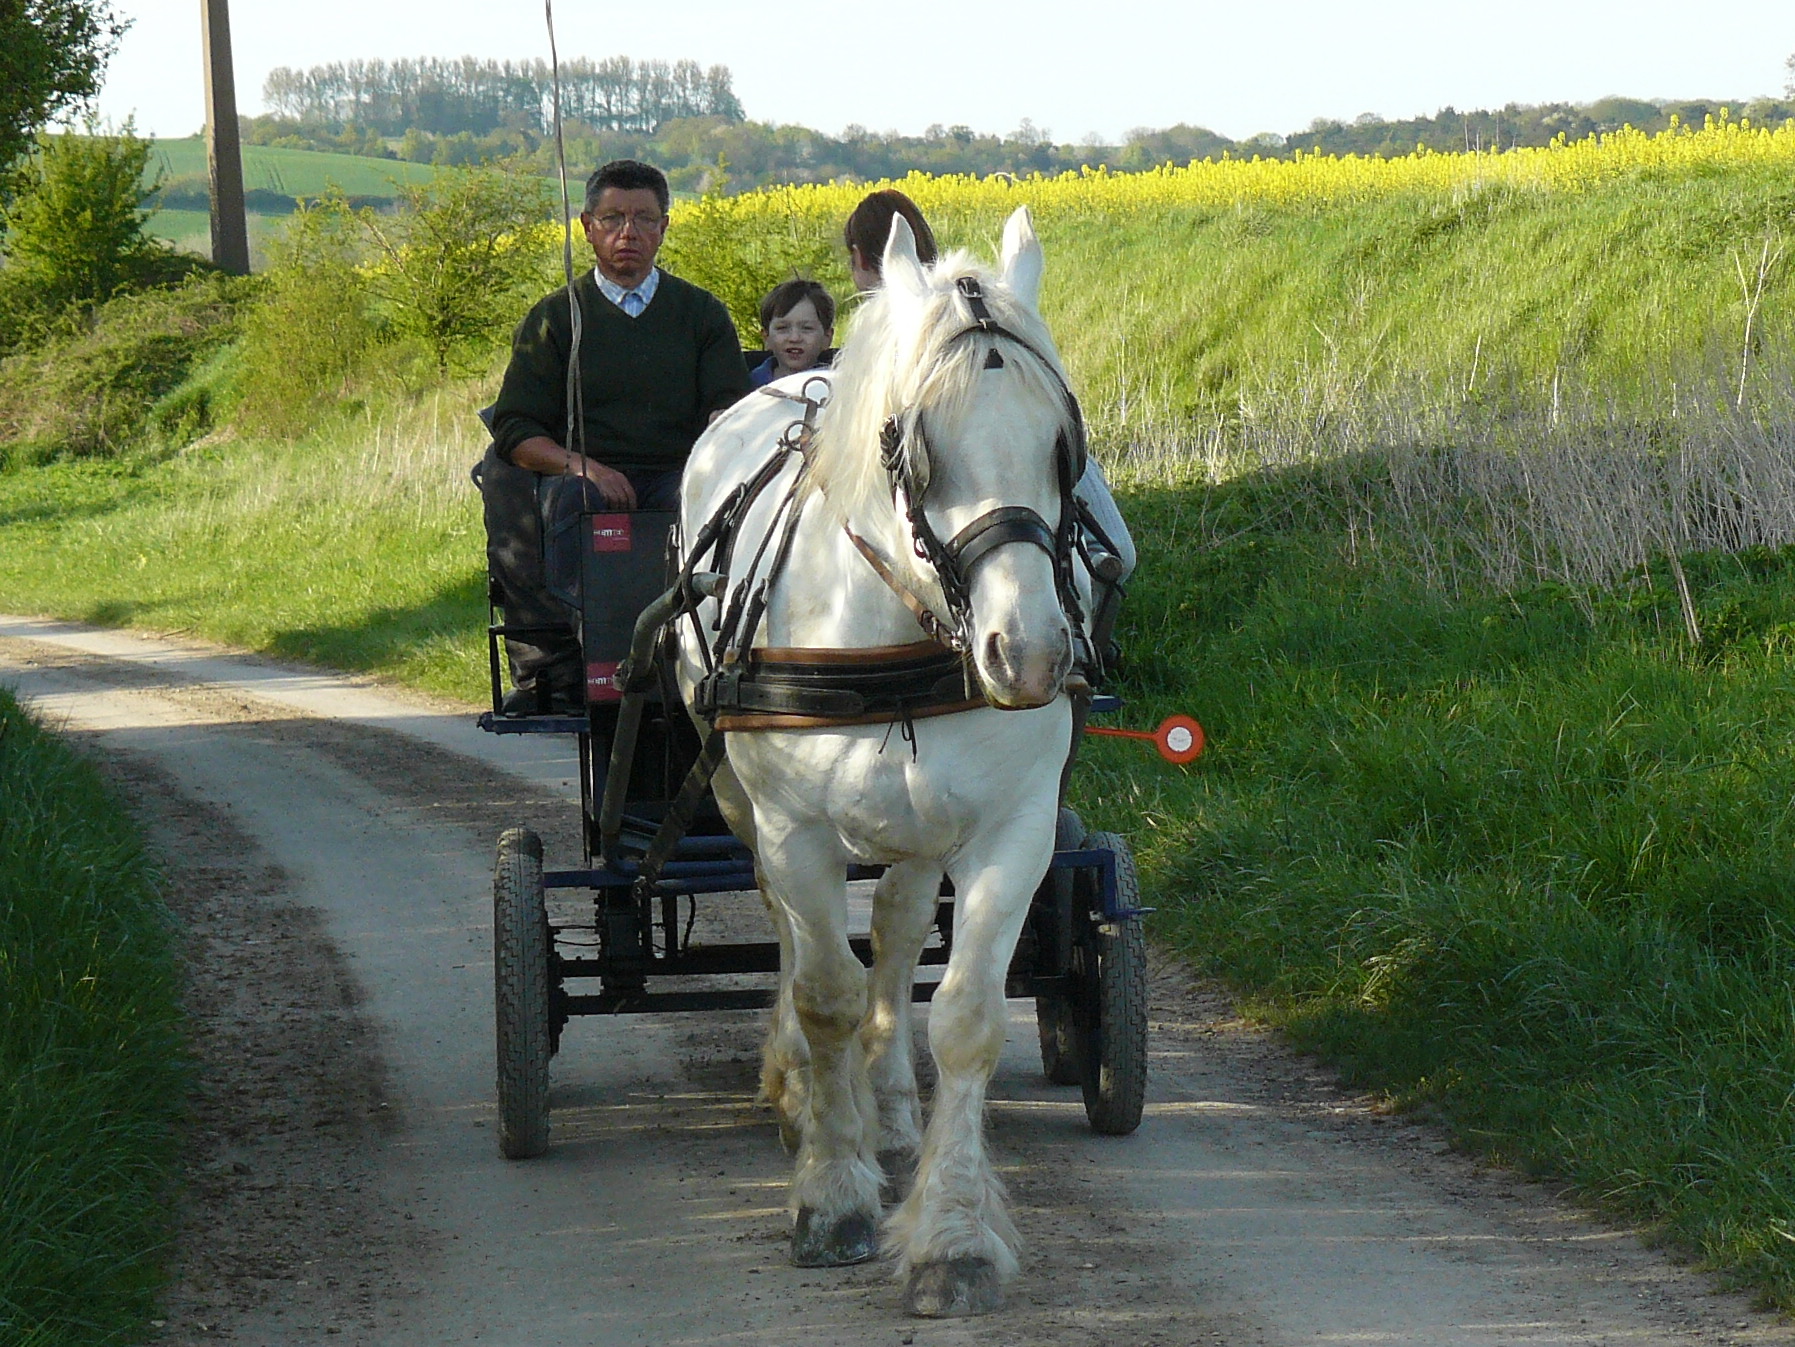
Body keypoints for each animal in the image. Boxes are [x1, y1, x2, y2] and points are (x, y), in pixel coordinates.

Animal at [671, 211, 1069, 1321]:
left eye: (1061, 444)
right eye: (913, 446)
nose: (1030, 656)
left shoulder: (1014, 826)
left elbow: (965, 1014)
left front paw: (952, 1237)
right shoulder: (794, 830)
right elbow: (825, 993)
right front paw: (833, 1194)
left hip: (922, 823)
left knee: (892, 929)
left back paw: (888, 1108)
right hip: (739, 799)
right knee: (796, 937)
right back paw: (807, 1092)